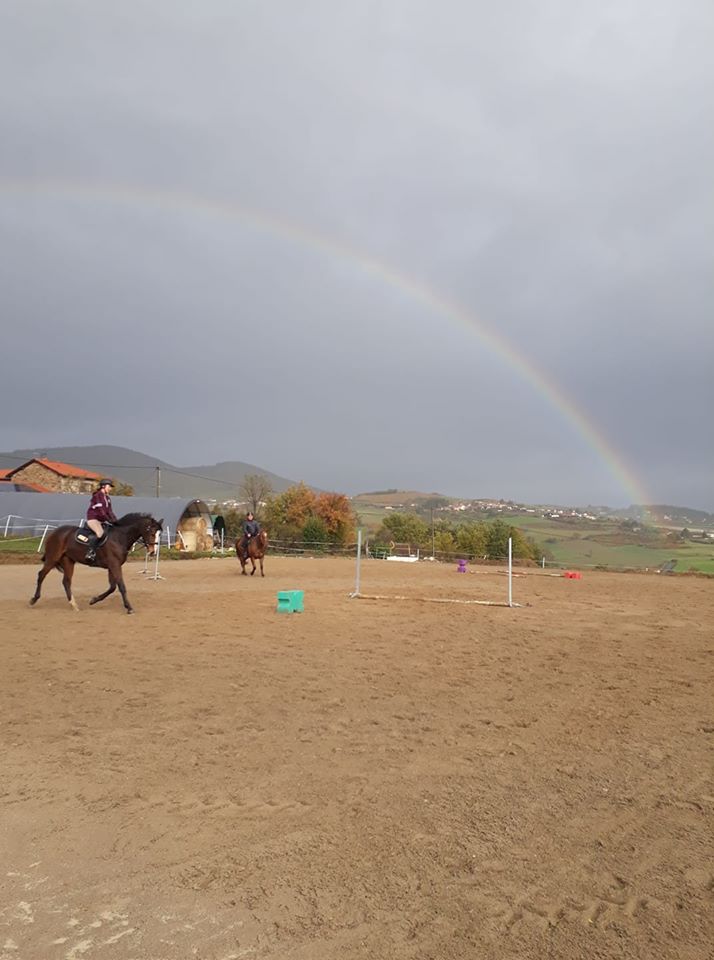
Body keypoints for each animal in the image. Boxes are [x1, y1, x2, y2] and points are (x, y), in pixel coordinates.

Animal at [29, 510, 163, 616]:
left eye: (159, 534)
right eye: (152, 533)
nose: (153, 552)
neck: (120, 537)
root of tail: (53, 533)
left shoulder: (112, 566)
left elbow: (112, 587)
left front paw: (94, 600)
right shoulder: (114, 565)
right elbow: (121, 586)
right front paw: (129, 608)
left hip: (68, 561)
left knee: (66, 581)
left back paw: (74, 605)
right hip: (52, 558)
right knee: (41, 575)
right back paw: (34, 599)